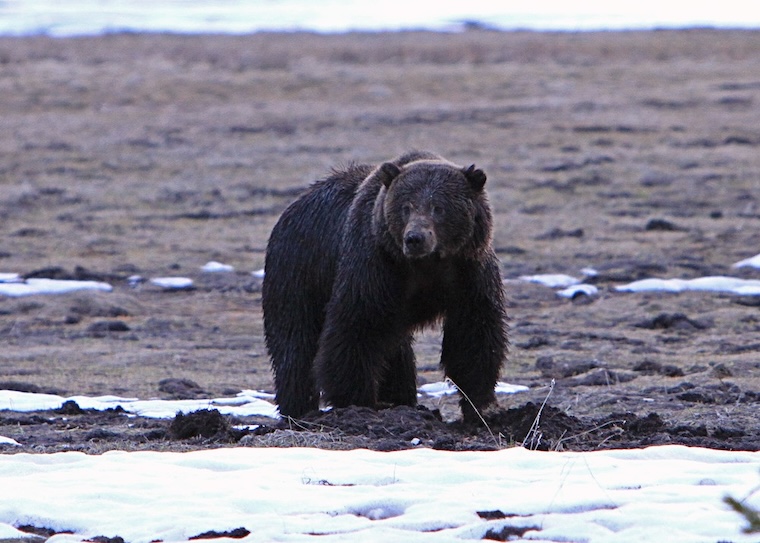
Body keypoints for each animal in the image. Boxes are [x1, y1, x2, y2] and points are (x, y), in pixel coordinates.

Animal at [261, 151, 509, 422]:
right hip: (298, 273)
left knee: (396, 352)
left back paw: (401, 399)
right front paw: (356, 401)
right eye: (406, 207)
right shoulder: (376, 266)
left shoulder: (469, 271)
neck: (427, 264)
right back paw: (298, 410)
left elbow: (474, 333)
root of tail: (292, 207)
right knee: (295, 343)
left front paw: (480, 404)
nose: (415, 238)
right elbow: (356, 326)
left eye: (439, 207)